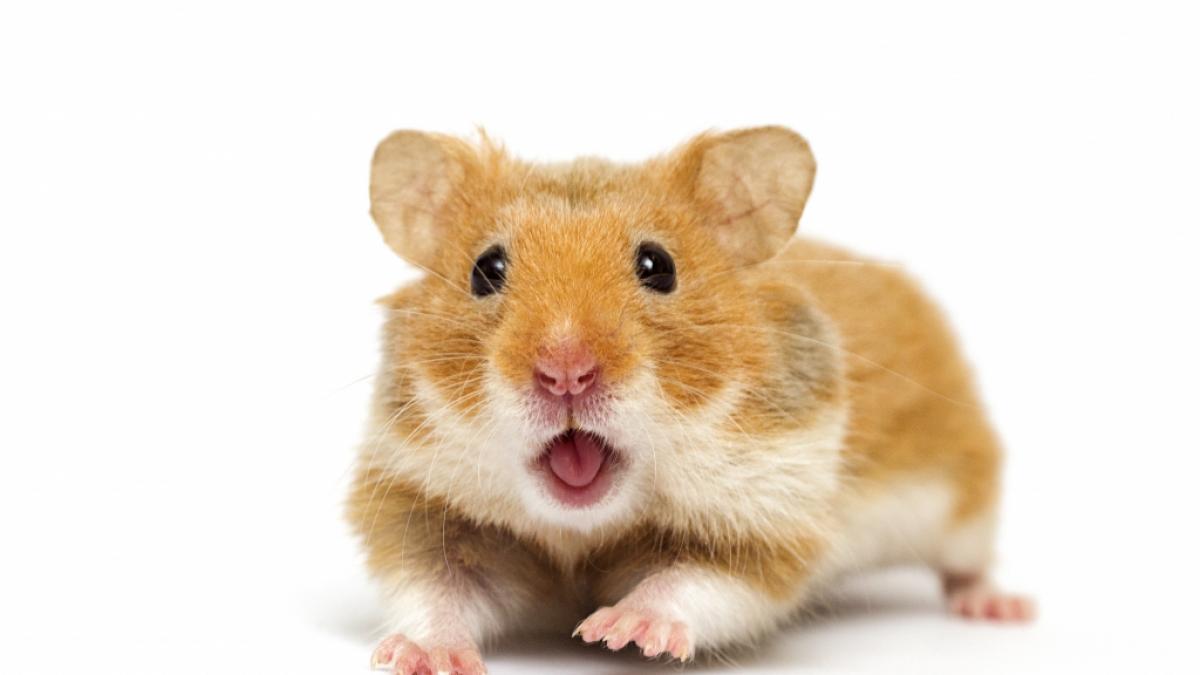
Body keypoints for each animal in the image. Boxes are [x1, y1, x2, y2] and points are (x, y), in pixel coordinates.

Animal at [347, 126, 1033, 675]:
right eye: (485, 270)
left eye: (658, 266)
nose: (565, 371)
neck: (583, 529)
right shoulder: (423, 505)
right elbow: (436, 590)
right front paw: (423, 657)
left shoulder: (768, 520)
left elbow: (695, 581)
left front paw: (619, 631)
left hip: (964, 505)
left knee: (966, 562)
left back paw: (1000, 607)